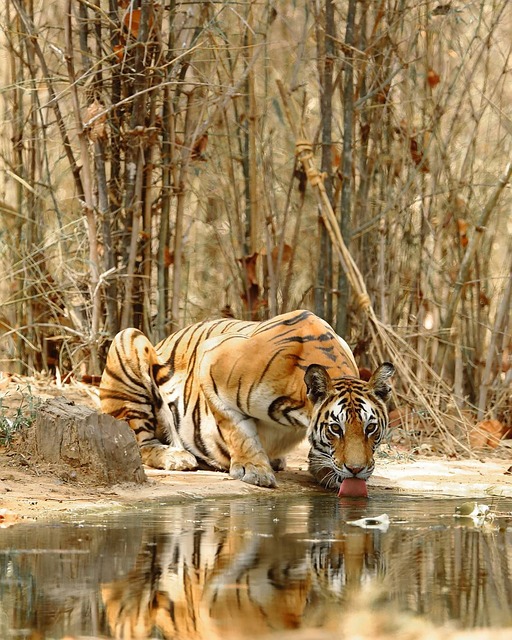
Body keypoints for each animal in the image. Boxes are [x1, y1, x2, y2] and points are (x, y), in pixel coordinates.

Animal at [101, 310, 396, 490]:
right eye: (336, 428)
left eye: (371, 428)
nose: (356, 470)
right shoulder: (211, 362)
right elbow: (237, 430)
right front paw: (254, 470)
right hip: (128, 340)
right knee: (139, 444)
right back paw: (177, 457)